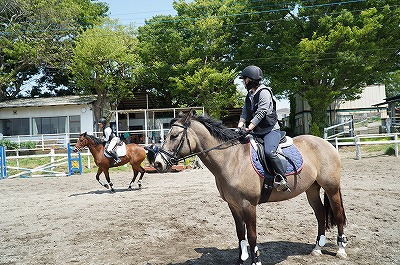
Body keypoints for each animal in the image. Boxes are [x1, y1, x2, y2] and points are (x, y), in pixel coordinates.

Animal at [153, 111, 346, 264]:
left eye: (174, 136)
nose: (158, 163)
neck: (231, 159)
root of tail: (326, 143)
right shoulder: (233, 205)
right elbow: (240, 233)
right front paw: (240, 260)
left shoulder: (248, 204)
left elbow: (252, 236)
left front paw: (256, 261)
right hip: (311, 189)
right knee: (320, 214)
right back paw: (317, 248)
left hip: (331, 188)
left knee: (337, 214)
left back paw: (341, 250)